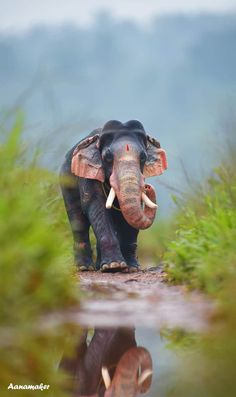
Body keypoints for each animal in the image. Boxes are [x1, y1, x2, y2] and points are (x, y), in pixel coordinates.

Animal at [60, 118, 167, 272]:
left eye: (143, 157)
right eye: (108, 157)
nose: (148, 187)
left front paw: (131, 268)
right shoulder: (89, 174)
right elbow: (96, 205)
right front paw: (113, 266)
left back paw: (99, 266)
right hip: (66, 183)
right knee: (78, 221)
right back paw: (85, 268)